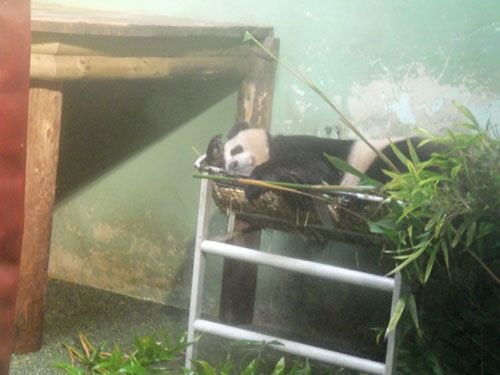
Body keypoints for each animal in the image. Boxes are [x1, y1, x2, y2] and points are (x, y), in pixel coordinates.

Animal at [205, 122, 440, 201]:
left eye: (236, 149)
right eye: (226, 160)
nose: (232, 165)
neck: (272, 150)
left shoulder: (306, 147)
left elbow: (319, 171)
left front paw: (261, 179)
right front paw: (214, 150)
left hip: (393, 157)